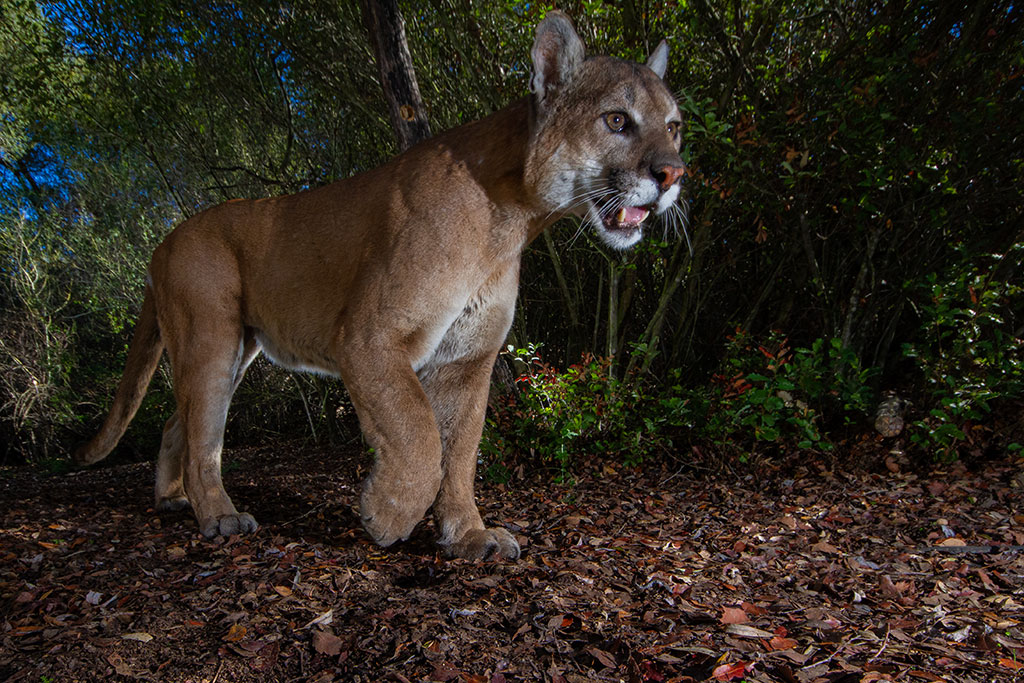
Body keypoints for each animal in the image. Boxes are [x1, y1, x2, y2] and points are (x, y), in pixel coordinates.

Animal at [75, 13, 684, 561]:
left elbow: (459, 452)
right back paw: (220, 516)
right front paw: (387, 514)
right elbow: (418, 436)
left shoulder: (467, 358)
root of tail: (164, 241)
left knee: (178, 421)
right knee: (203, 434)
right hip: (209, 336)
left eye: (674, 126)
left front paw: (467, 535)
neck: (513, 220)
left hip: (234, 352)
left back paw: (172, 500)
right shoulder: (370, 336)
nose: (674, 173)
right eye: (616, 120)